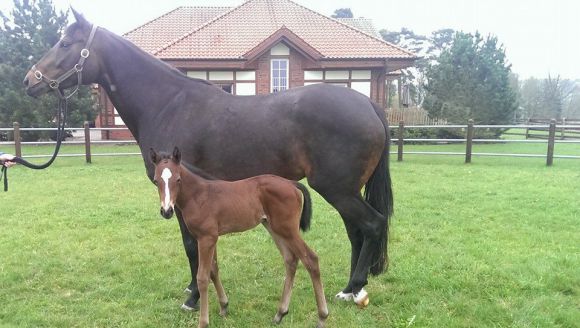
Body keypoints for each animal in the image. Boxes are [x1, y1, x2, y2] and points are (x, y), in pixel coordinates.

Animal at [150, 148, 328, 328]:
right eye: (156, 181)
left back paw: (322, 316)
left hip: (288, 230)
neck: (198, 195)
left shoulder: (206, 238)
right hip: (274, 228)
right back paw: (280, 313)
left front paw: (203, 322)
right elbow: (214, 271)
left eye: (178, 179)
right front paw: (224, 306)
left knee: (311, 259)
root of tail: (292, 183)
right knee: (291, 259)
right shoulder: (211, 238)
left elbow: (202, 277)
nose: (167, 211)